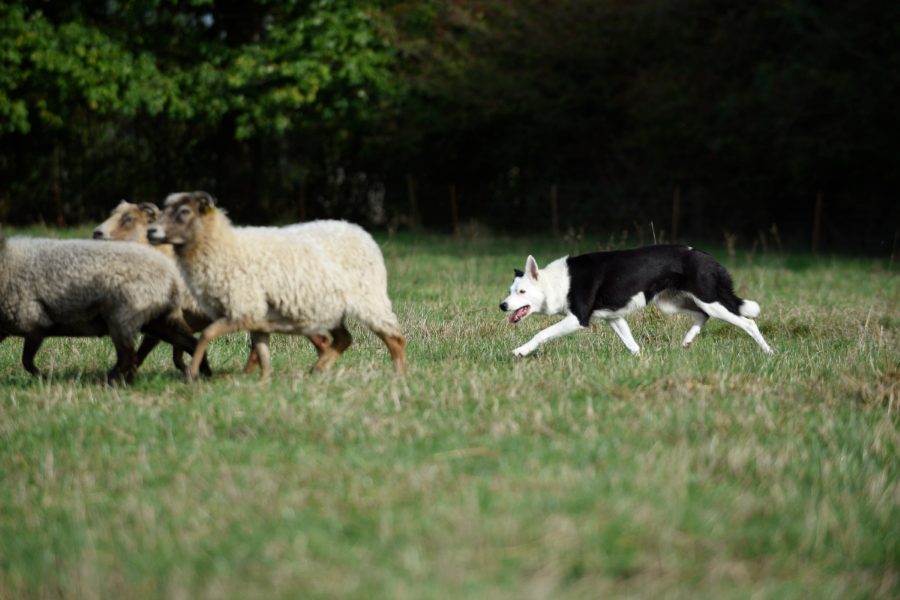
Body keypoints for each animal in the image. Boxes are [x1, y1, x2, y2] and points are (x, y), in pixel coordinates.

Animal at [0, 233, 208, 383]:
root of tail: (172, 277)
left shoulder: (34, 322)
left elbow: (27, 360)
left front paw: (42, 377)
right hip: (154, 320)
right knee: (188, 343)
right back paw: (204, 372)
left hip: (123, 317)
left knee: (128, 357)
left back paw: (108, 381)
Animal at [147, 191, 406, 380]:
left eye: (184, 212)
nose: (152, 231)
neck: (223, 246)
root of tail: (359, 231)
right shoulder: (252, 316)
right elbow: (260, 351)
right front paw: (263, 381)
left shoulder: (243, 307)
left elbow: (207, 335)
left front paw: (192, 374)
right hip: (327, 308)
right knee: (344, 339)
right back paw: (317, 370)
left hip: (368, 298)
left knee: (394, 337)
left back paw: (399, 374)